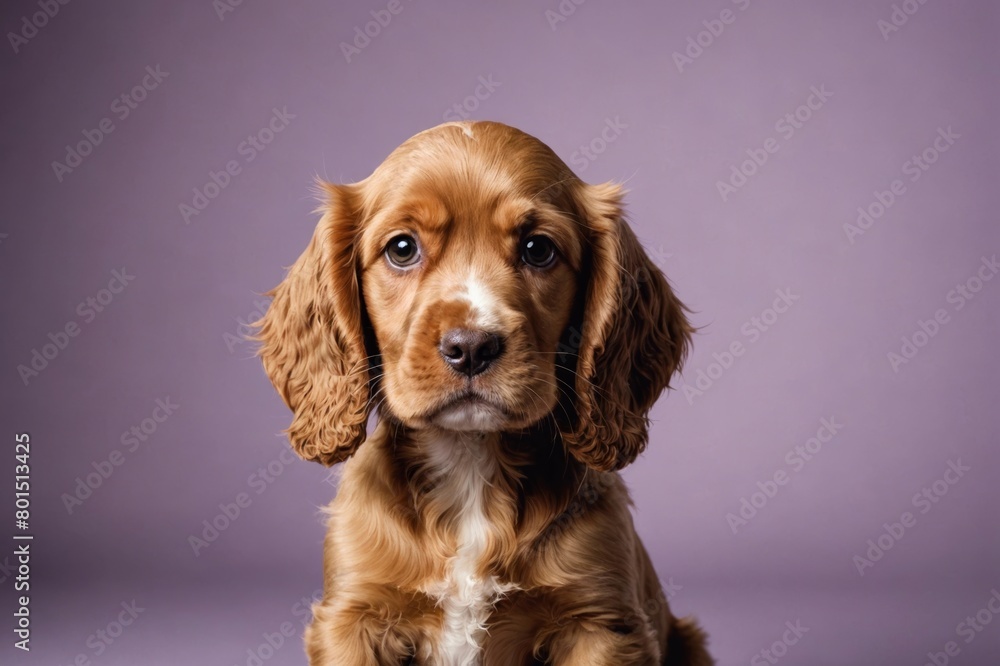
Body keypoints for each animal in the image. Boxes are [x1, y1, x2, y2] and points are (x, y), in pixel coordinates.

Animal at [256, 120, 712, 664]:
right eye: (402, 249)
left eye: (538, 249)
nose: (471, 346)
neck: (469, 461)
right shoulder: (352, 617)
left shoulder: (599, 622)